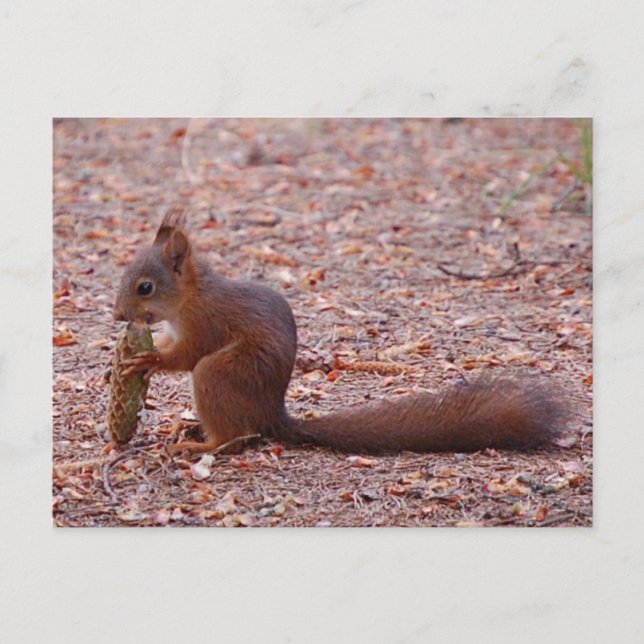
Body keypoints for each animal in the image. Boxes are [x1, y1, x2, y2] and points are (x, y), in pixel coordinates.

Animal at [113, 210, 569, 457]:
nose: (118, 315)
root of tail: (273, 416)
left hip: (219, 374)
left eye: (145, 287)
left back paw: (199, 445)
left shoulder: (206, 324)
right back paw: (191, 430)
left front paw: (148, 360)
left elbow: (187, 354)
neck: (190, 296)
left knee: (236, 436)